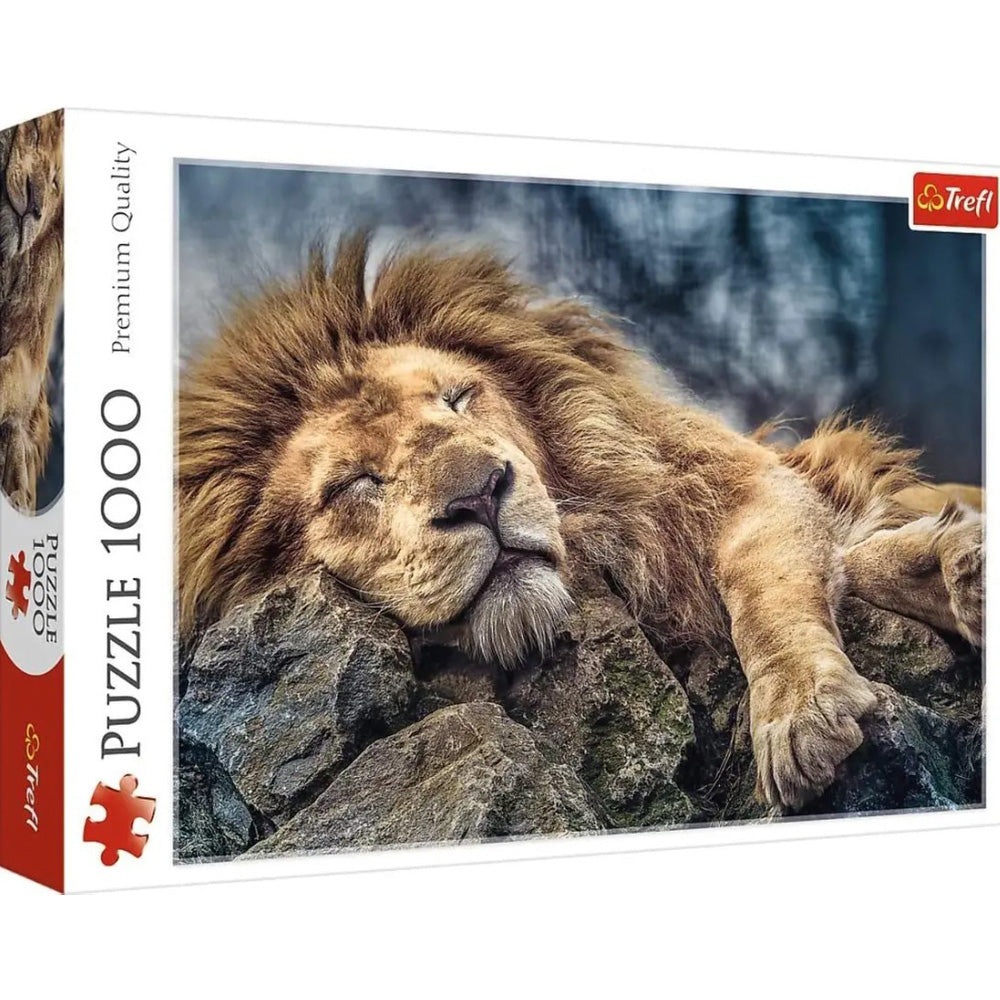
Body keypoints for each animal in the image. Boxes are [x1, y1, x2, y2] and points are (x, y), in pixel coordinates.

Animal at [178, 232, 984, 812]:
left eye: (459, 398)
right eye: (355, 483)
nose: (481, 494)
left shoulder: (740, 482)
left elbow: (769, 590)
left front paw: (803, 710)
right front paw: (951, 568)